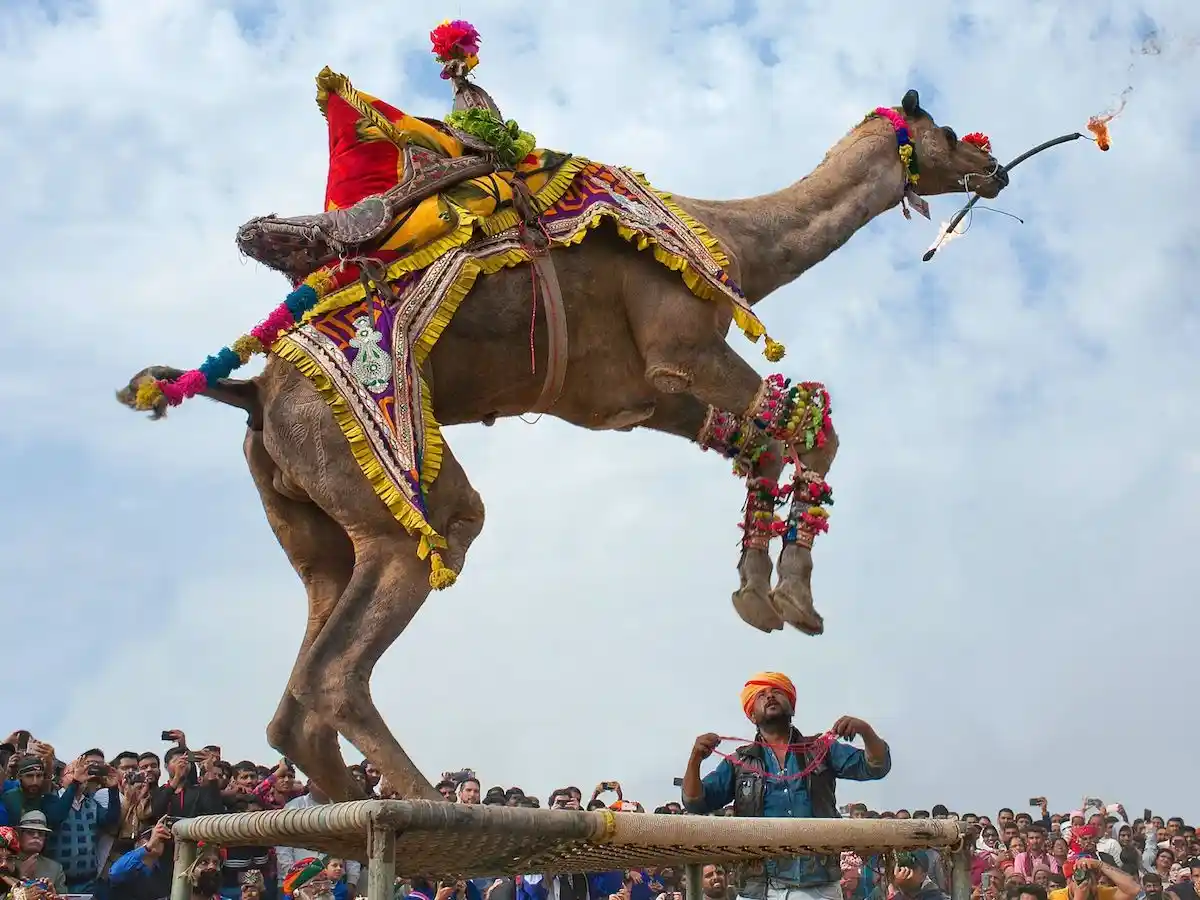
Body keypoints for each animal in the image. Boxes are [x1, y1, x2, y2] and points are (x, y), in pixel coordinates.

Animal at [119, 22, 1003, 801]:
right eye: (947, 128)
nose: (993, 166)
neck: (731, 237)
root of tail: (251, 393)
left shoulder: (641, 397)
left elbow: (764, 443)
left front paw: (757, 598)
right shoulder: (684, 346)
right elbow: (816, 431)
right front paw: (794, 601)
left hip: (309, 514)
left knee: (296, 695)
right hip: (378, 481)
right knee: (349, 653)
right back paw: (431, 808)